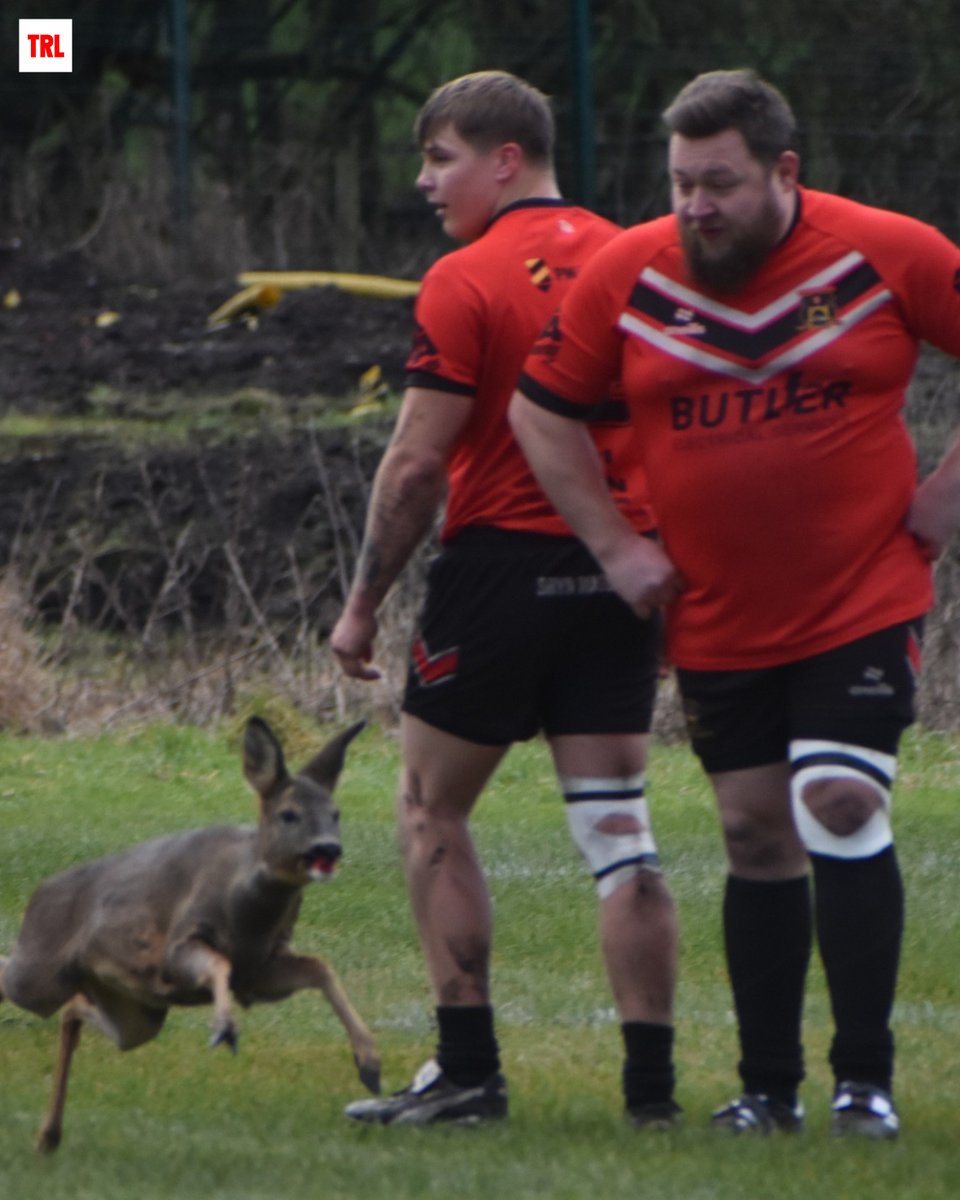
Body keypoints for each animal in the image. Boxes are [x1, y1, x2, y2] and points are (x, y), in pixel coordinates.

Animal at [0, 715, 380, 1153]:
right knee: (12, 974)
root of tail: (39, 893)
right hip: (38, 973)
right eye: (288, 814)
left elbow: (320, 968)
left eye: (336, 813)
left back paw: (49, 1136)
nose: (329, 849)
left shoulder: (261, 970)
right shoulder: (180, 945)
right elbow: (216, 962)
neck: (246, 913)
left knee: (74, 1011)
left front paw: (370, 1062)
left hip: (138, 1013)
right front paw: (224, 1027)